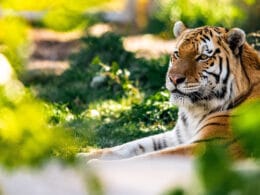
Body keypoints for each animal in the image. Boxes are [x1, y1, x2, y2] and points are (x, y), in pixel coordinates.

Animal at [77, 21, 260, 161]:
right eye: (177, 54)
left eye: (203, 57)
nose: (173, 78)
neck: (195, 111)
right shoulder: (177, 137)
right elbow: (128, 146)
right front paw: (82, 157)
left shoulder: (208, 146)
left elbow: (145, 159)